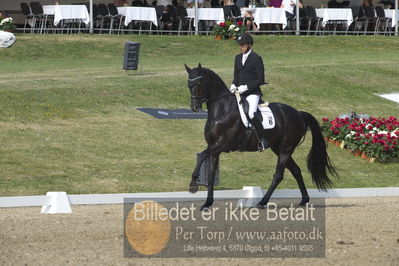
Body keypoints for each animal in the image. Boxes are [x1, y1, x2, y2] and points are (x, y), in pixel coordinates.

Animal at [184, 63, 338, 211]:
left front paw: (193, 185)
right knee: (296, 170)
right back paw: (304, 200)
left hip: (286, 149)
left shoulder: (221, 145)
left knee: (278, 175)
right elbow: (210, 175)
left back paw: (262, 202)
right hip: (278, 148)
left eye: (198, 84)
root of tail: (299, 113)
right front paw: (207, 203)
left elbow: (201, 156)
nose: (195, 108)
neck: (222, 109)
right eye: (189, 85)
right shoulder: (214, 148)